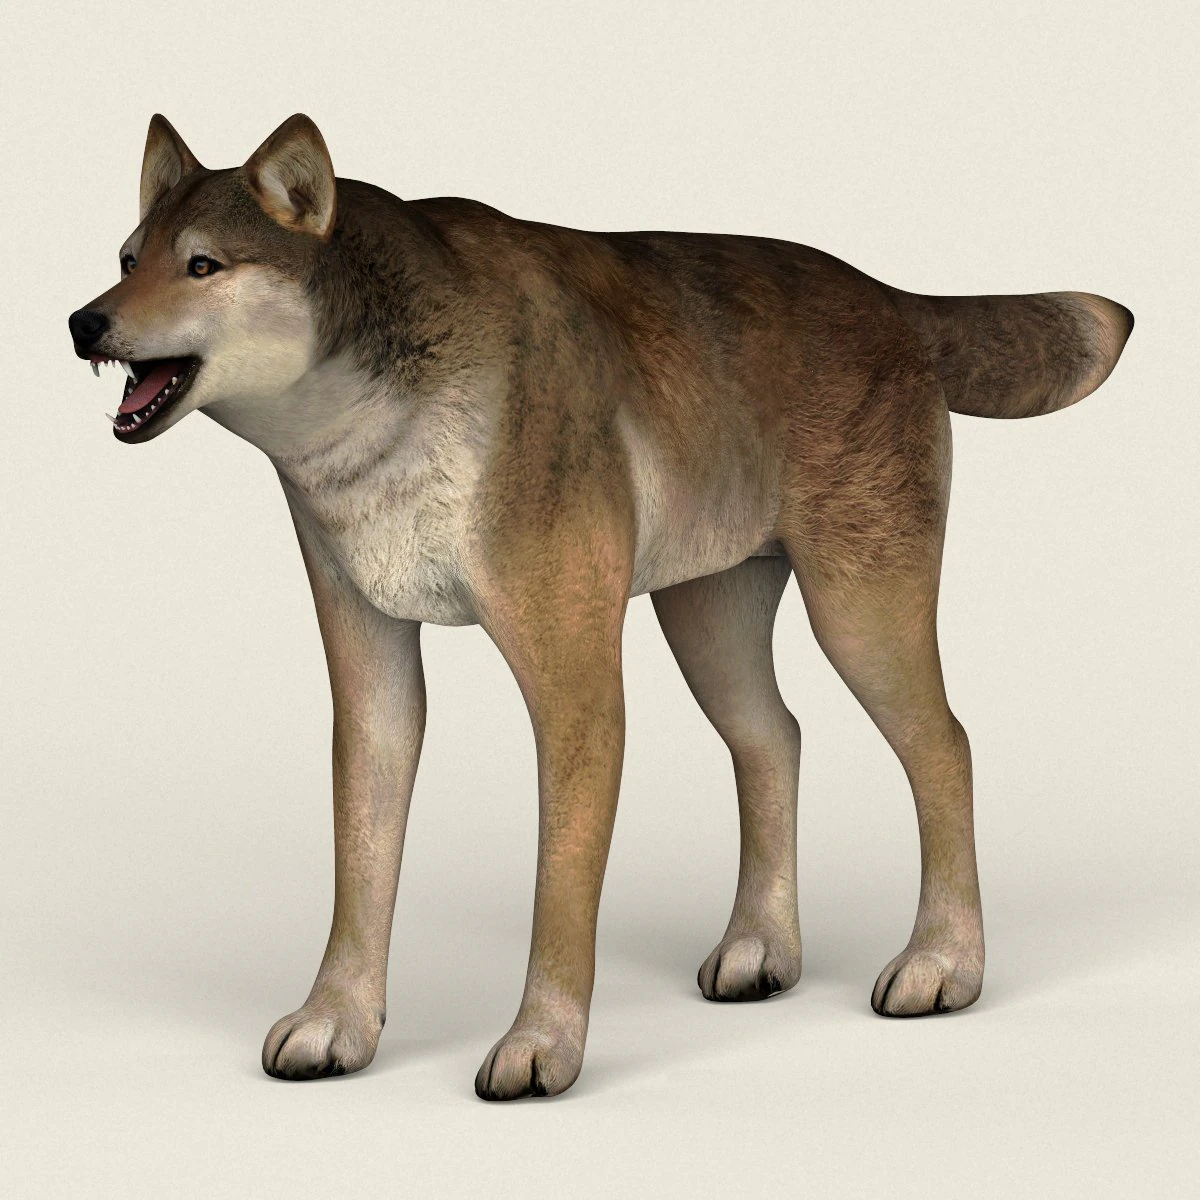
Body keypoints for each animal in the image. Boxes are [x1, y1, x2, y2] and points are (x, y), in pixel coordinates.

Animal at [68, 114, 1132, 1099]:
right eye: (125, 259)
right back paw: (761, 949)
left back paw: (943, 964)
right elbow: (361, 869)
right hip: (709, 623)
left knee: (944, 745)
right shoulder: (372, 677)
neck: (379, 424)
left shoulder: (576, 687)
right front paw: (338, 1025)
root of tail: (886, 295)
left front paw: (542, 1046)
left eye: (202, 264)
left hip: (858, 612)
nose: (83, 323)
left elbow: (560, 895)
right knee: (776, 738)